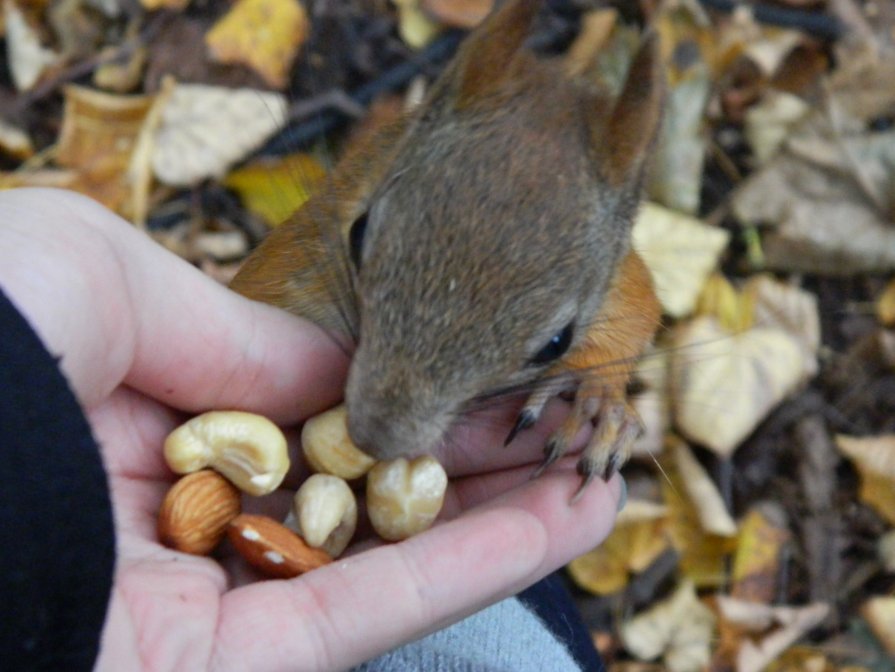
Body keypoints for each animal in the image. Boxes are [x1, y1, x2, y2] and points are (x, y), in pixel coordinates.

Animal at [231, 0, 664, 496]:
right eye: (358, 233)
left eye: (557, 343)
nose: (376, 437)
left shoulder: (617, 281)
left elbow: (639, 313)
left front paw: (599, 401)